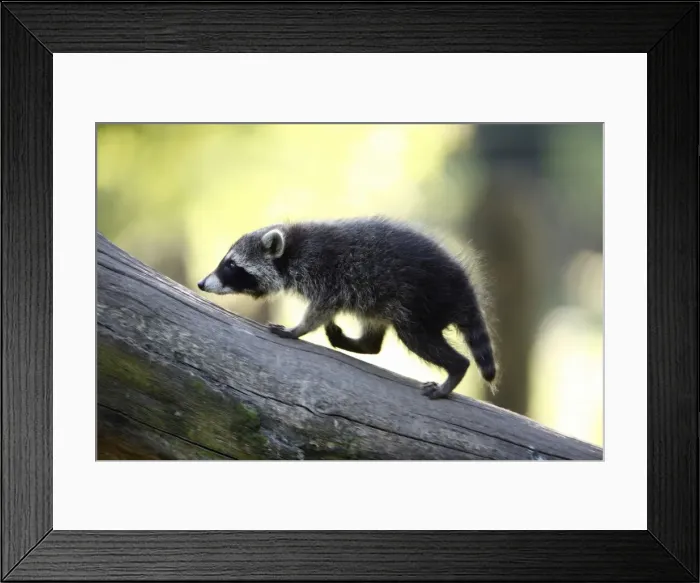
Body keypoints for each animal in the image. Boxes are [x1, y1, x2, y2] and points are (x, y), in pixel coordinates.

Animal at [197, 216, 497, 399]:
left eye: (231, 265)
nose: (201, 283)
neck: (293, 247)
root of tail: (463, 286)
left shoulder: (327, 275)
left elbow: (321, 309)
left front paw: (298, 329)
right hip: (382, 300)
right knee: (374, 338)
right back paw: (362, 343)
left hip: (419, 301)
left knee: (418, 338)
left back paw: (456, 368)